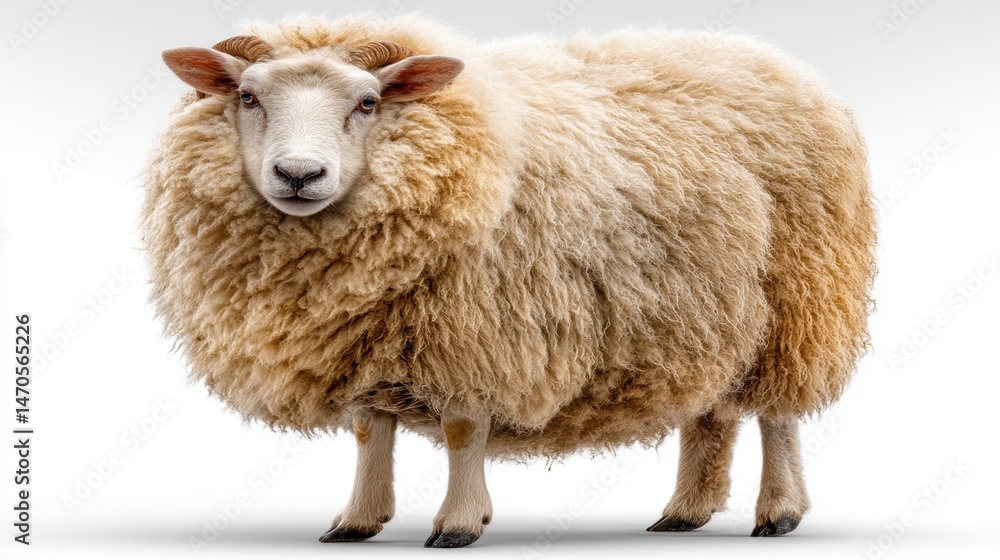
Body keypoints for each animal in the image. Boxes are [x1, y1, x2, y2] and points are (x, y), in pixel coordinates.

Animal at [142, 14, 876, 548]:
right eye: (247, 96)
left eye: (368, 101)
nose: (298, 175)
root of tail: (770, 60)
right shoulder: (370, 341)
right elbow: (369, 432)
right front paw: (356, 520)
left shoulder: (477, 333)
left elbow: (464, 433)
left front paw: (459, 524)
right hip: (707, 315)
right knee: (712, 413)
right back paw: (685, 512)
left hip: (798, 302)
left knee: (778, 416)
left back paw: (778, 511)